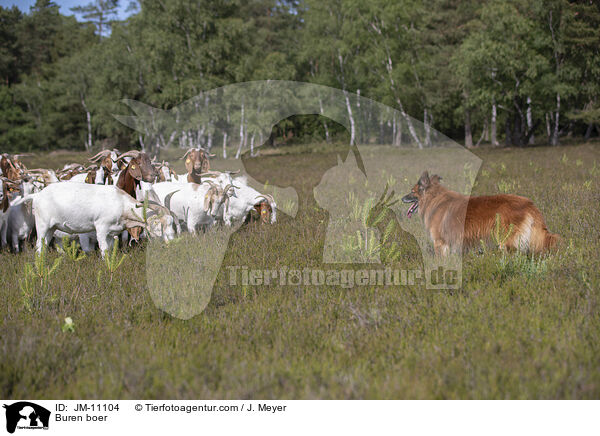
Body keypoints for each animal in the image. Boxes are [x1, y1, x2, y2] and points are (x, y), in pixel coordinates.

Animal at [400, 171, 560, 255]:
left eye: (412, 191)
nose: (401, 198)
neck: (434, 199)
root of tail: (529, 204)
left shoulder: (440, 242)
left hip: (505, 241)